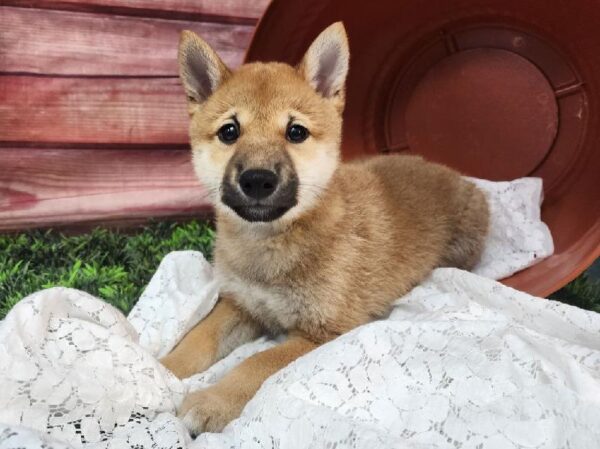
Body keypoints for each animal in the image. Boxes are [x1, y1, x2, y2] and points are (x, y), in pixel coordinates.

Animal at [162, 21, 490, 434]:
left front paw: (214, 401)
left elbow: (255, 364)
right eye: (229, 132)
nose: (257, 180)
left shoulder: (324, 332)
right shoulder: (241, 305)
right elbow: (196, 340)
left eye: (296, 132)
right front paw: (154, 371)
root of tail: (447, 170)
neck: (271, 246)